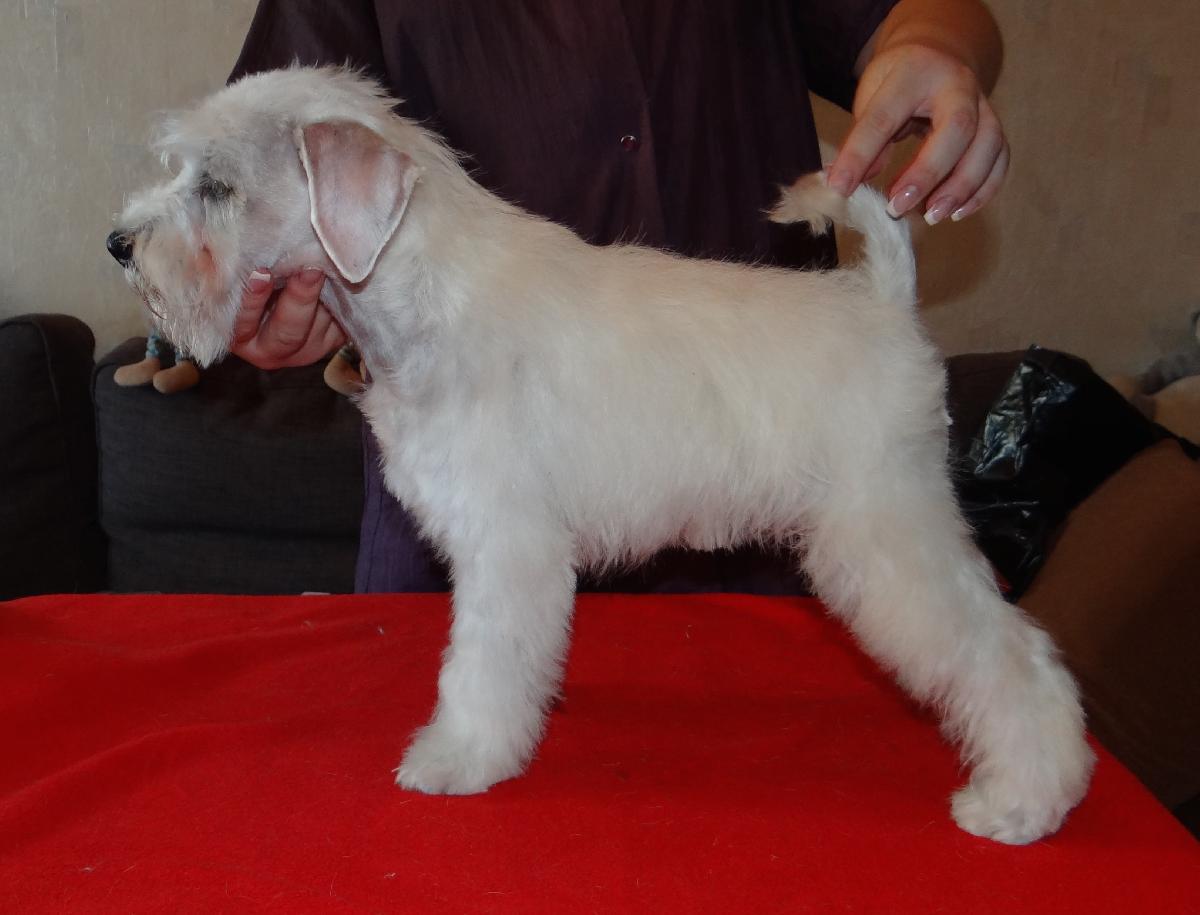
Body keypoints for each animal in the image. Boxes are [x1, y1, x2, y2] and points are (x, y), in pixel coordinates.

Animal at [108, 66, 1093, 844]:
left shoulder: (509, 546)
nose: (120, 243)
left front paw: (458, 757)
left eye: (219, 185)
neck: (421, 292)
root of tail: (886, 303)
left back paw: (1022, 799)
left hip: (888, 532)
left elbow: (482, 665)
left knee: (1008, 655)